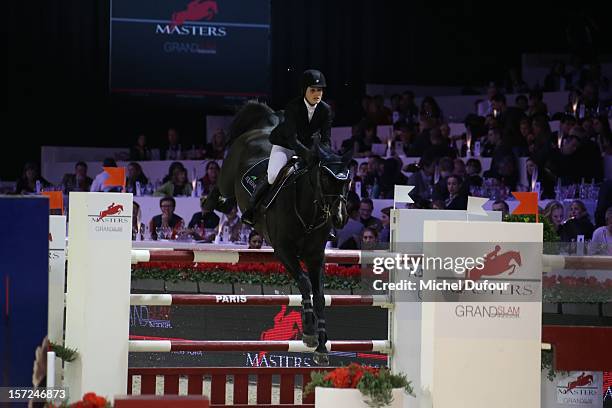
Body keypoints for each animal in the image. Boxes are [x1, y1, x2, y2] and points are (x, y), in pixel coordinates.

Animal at [204, 101, 352, 364]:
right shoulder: (284, 251)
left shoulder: (316, 256)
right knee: (220, 188)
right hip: (229, 175)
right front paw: (309, 333)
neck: (308, 212)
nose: (340, 217)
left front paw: (322, 347)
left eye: (348, 181)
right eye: (325, 177)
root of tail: (264, 128)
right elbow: (304, 283)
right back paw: (210, 203)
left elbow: (320, 295)